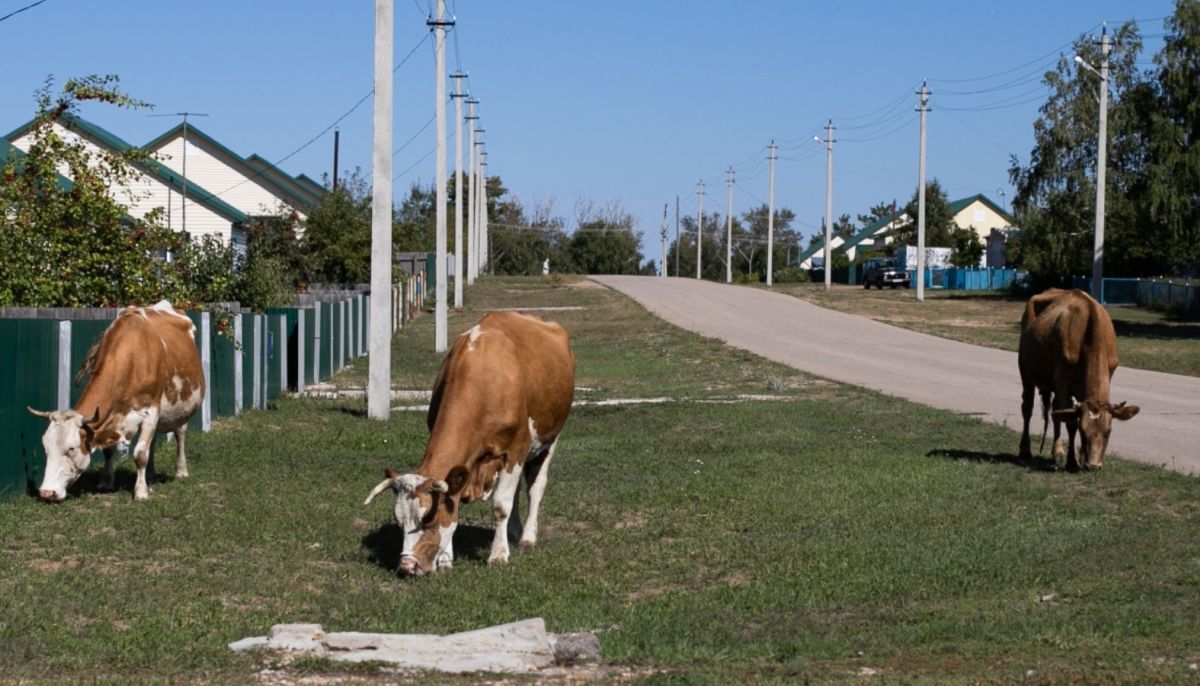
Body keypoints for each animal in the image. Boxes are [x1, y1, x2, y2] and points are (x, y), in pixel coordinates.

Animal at [27, 298, 204, 498]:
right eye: (45, 446)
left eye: (71, 448)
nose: (46, 492)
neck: (133, 357)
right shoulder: (113, 419)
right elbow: (110, 451)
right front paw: (106, 482)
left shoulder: (150, 410)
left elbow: (140, 453)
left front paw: (141, 492)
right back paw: (150, 474)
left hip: (183, 405)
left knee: (180, 433)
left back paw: (181, 471)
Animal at [362, 314, 573, 575]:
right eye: (399, 522)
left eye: (429, 520)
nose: (407, 565)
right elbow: (459, 502)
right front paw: (446, 559)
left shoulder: (516, 449)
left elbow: (501, 505)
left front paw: (498, 555)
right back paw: (513, 532)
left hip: (549, 439)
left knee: (535, 487)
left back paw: (527, 538)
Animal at [1017, 285, 1137, 472]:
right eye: (1083, 431)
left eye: (1108, 432)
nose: (1093, 466)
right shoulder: (1062, 382)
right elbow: (1071, 422)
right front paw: (1073, 462)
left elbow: (1065, 415)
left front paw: (1079, 458)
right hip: (1025, 371)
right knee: (1027, 408)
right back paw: (1025, 450)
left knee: (1056, 412)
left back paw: (1058, 453)